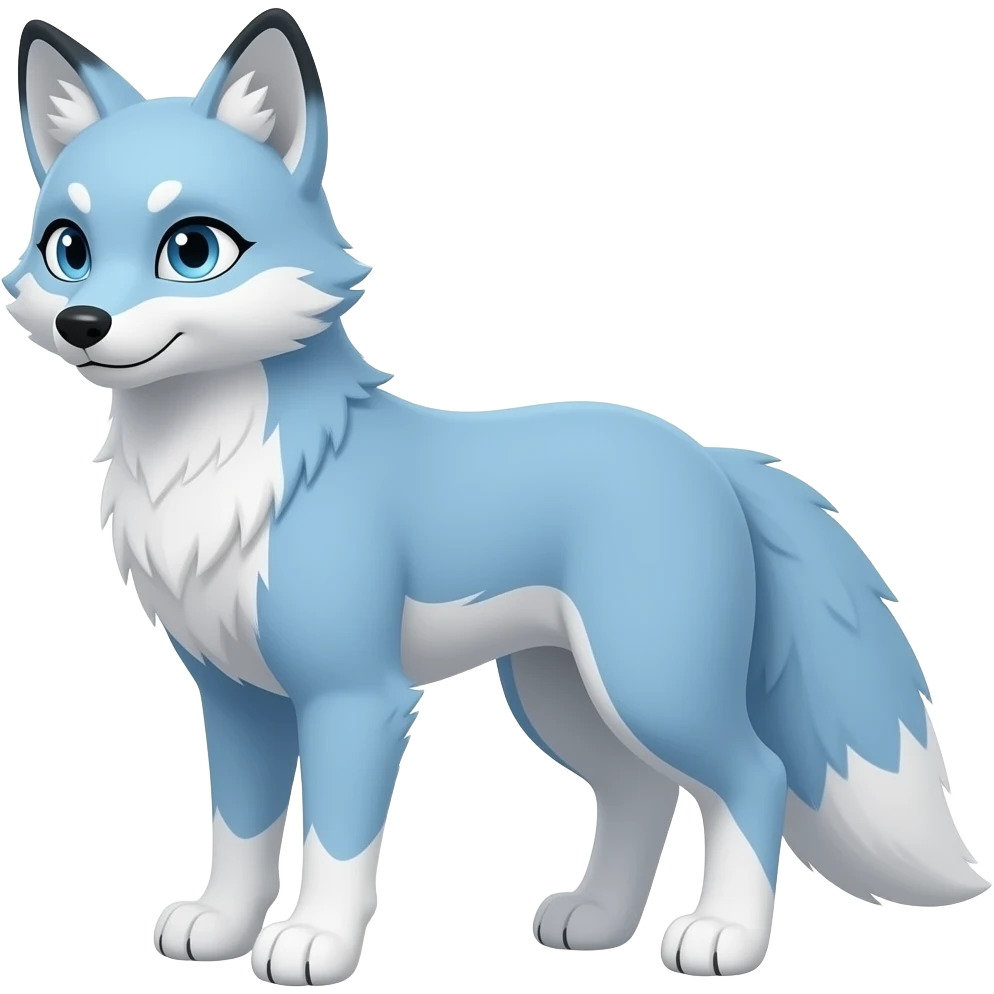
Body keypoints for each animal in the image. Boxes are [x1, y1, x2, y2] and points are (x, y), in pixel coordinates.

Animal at [5, 8, 989, 986]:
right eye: (68, 251)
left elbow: (334, 840)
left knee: (755, 773)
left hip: (649, 684)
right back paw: (596, 921)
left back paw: (725, 939)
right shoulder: (235, 695)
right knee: (642, 790)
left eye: (192, 250)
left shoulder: (355, 696)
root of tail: (707, 454)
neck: (213, 471)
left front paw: (317, 942)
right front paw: (219, 929)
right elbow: (239, 833)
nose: (83, 325)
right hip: (564, 699)